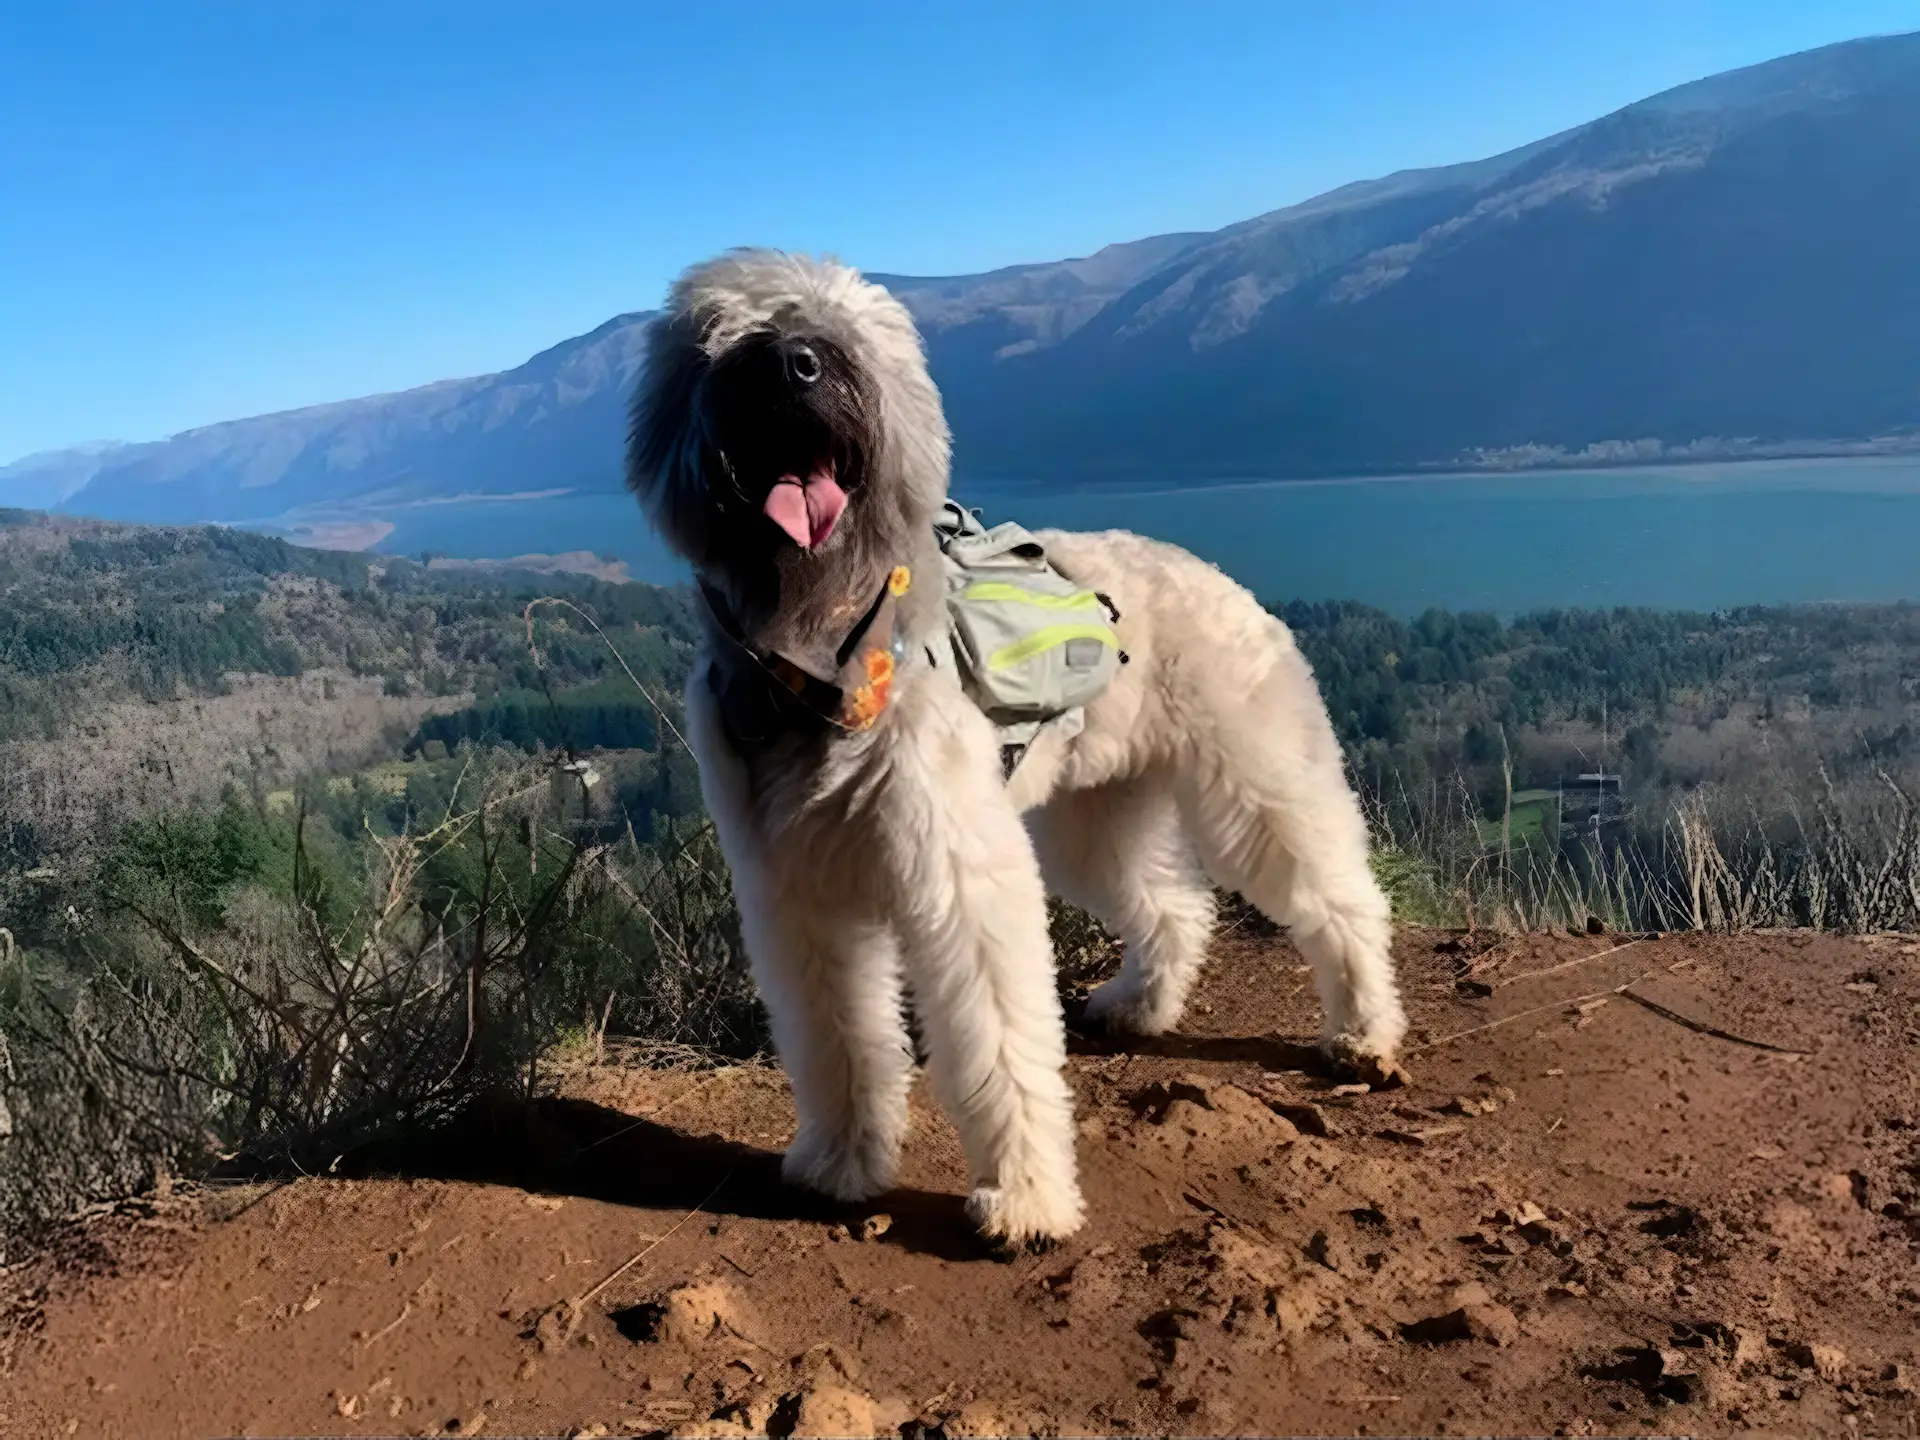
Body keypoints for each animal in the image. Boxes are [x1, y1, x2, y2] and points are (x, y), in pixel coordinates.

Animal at [629, 247, 1413, 1244]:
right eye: (722, 335)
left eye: (844, 331)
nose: (793, 365)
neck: (820, 658)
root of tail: (1214, 574)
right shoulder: (796, 898)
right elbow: (836, 1038)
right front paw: (843, 1160)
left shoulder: (961, 882)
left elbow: (997, 1041)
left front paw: (1028, 1198)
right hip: (1090, 823)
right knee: (1175, 908)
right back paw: (1140, 1005)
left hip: (1257, 787)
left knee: (1340, 902)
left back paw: (1365, 1032)